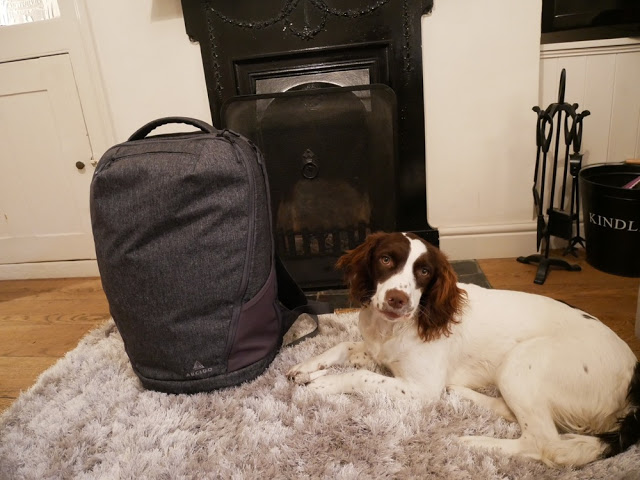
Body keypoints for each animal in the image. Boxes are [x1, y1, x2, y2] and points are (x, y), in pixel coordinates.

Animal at [288, 232, 640, 464]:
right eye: (386, 259)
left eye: (424, 271)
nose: (397, 300)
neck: (395, 327)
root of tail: (634, 377)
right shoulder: (378, 352)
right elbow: (344, 345)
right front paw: (305, 368)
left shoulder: (422, 388)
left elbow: (359, 376)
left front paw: (323, 384)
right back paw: (462, 393)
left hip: (521, 362)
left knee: (542, 442)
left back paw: (473, 442)